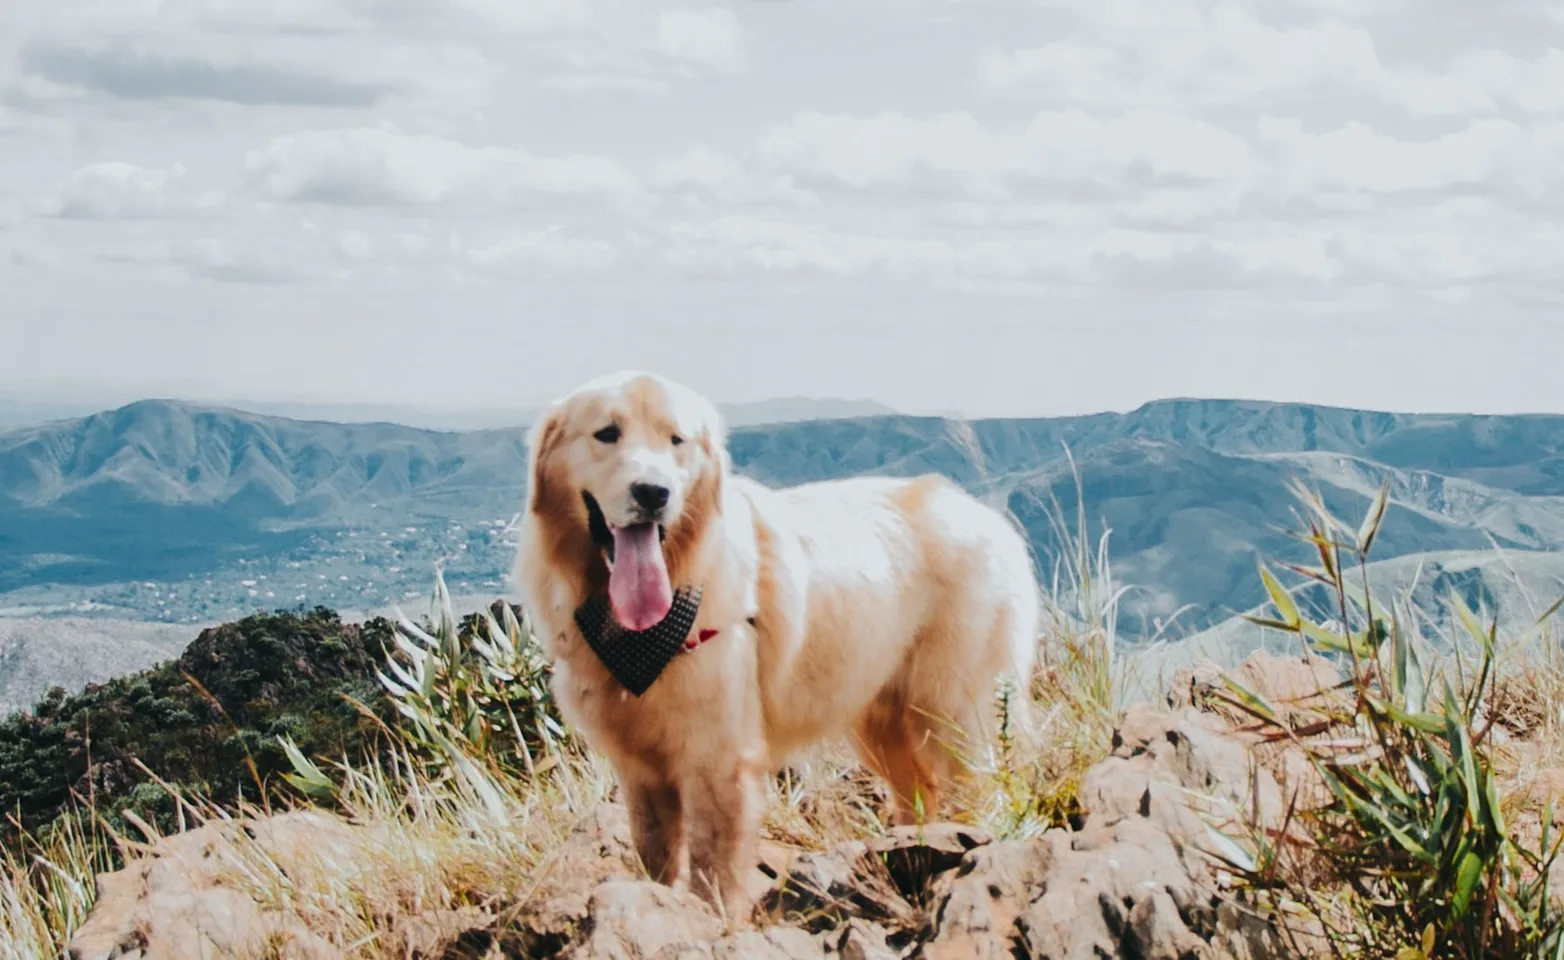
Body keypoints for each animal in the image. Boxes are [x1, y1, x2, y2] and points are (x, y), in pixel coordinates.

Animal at [512, 372, 1038, 919]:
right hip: (883, 726)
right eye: (607, 434)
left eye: (676, 440)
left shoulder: (718, 758)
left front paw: (716, 919)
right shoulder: (642, 770)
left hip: (953, 712)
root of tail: (989, 518)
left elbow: (714, 863)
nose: (654, 492)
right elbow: (656, 853)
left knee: (974, 788)